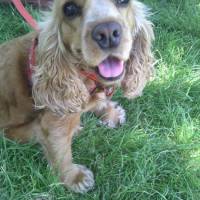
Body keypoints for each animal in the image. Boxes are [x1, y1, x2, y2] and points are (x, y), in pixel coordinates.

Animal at [0, 0, 155, 194]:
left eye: (123, 2)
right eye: (70, 9)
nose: (107, 33)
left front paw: (111, 113)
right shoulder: (53, 123)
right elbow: (61, 153)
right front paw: (74, 178)